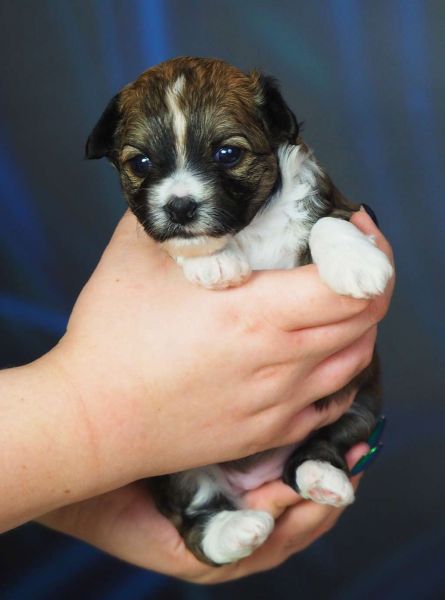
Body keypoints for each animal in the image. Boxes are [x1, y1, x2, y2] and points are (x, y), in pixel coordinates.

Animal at [86, 57, 393, 565]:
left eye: (227, 153)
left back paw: (321, 478)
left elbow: (326, 222)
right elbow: (177, 246)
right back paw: (236, 529)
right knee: (195, 517)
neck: (251, 227)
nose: (180, 206)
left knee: (320, 444)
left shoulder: (347, 206)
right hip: (168, 463)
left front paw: (358, 262)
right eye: (141, 163)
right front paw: (211, 260)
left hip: (359, 407)